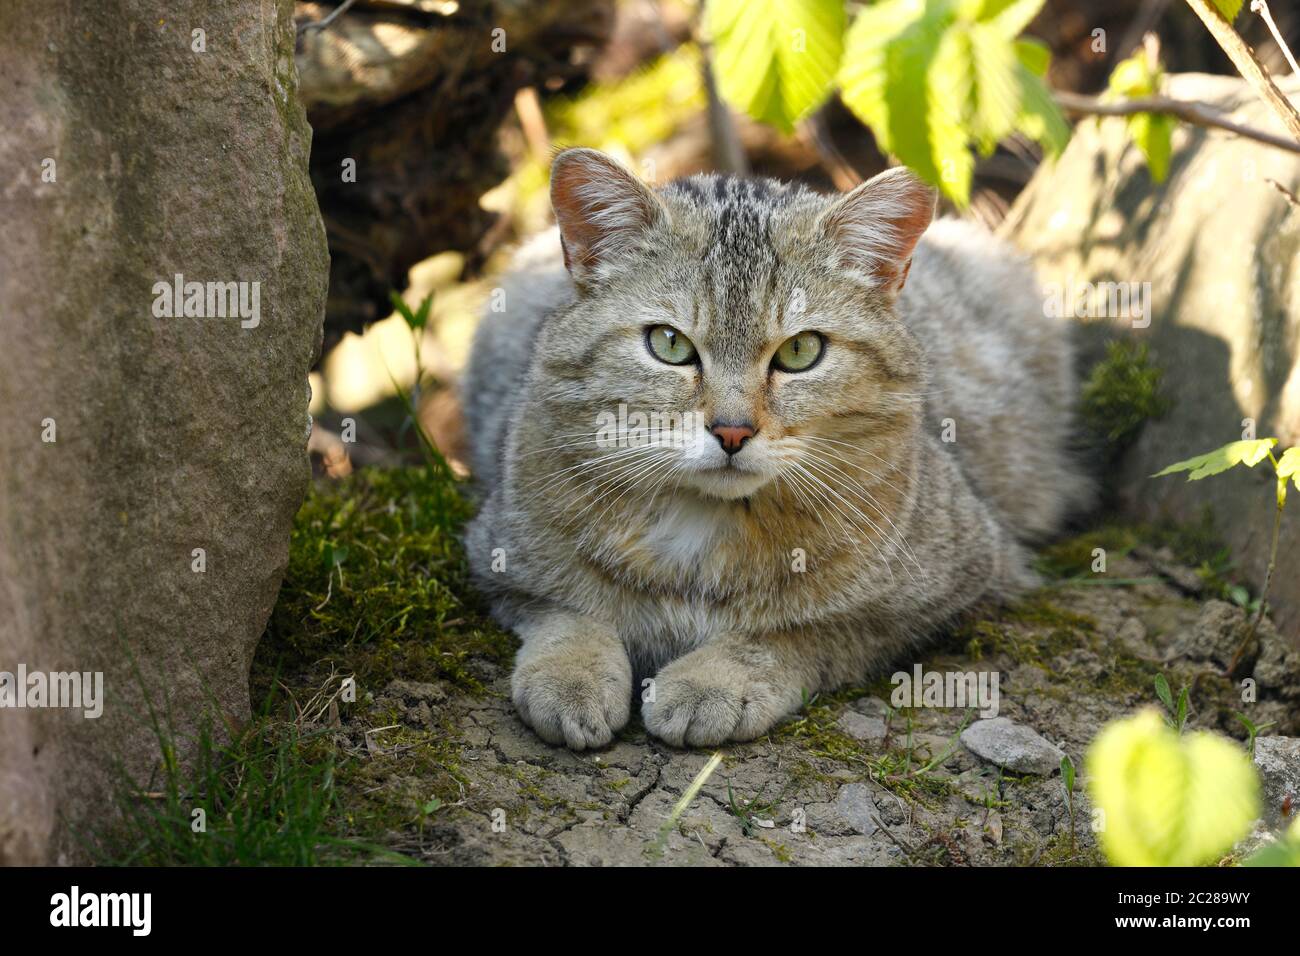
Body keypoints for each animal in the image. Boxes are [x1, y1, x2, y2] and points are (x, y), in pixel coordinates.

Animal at [457, 147, 1086, 749]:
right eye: (669, 344)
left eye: (801, 351)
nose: (733, 431)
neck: (703, 526)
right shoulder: (498, 558)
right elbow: (569, 615)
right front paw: (573, 673)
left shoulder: (956, 588)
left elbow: (796, 633)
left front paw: (715, 679)